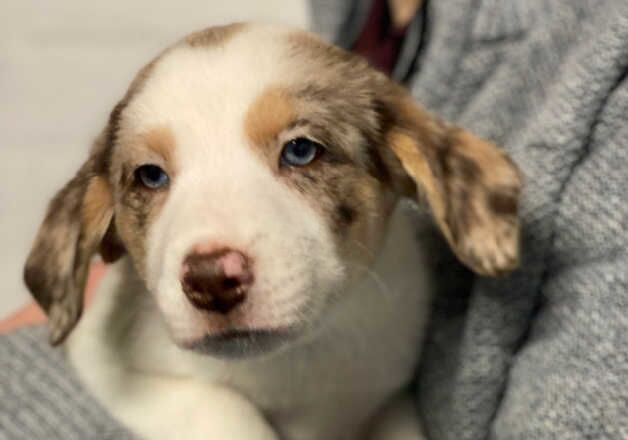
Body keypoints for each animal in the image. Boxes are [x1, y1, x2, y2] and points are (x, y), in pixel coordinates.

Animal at [23, 24, 520, 440]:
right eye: (150, 176)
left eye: (301, 151)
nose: (210, 281)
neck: (287, 364)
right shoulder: (110, 371)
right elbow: (221, 408)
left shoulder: (386, 398)